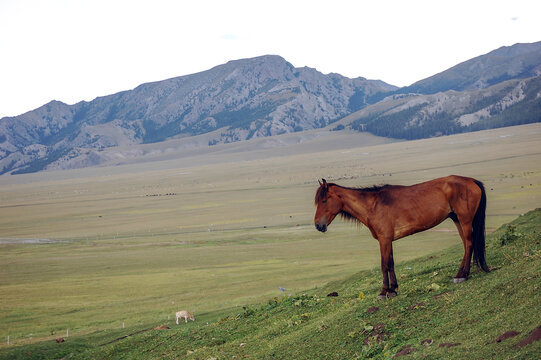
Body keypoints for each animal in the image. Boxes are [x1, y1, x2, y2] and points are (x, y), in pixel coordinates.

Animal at [314, 176, 488, 300]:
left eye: (324, 200)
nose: (318, 225)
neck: (373, 206)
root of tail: (471, 180)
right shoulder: (388, 241)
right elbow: (391, 262)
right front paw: (393, 289)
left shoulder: (384, 240)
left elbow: (384, 264)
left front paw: (383, 292)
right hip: (457, 219)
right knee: (466, 244)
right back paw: (459, 274)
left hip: (465, 220)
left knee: (469, 243)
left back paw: (463, 275)